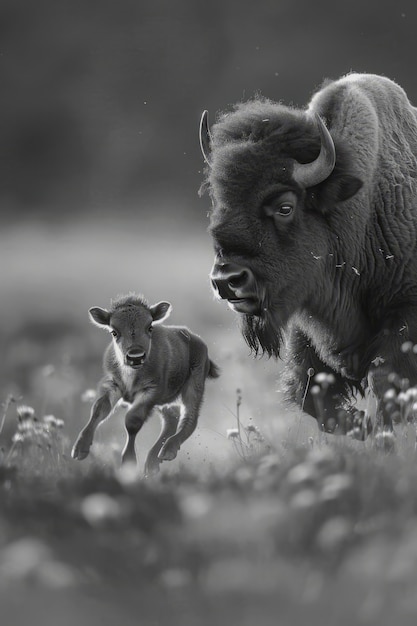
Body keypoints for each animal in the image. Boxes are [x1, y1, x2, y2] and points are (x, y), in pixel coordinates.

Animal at [71, 294, 219, 472]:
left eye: (150, 327)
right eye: (114, 332)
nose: (135, 356)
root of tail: (195, 338)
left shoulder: (151, 392)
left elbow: (132, 420)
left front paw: (128, 462)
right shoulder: (113, 384)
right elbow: (100, 408)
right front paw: (79, 449)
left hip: (193, 386)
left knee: (189, 417)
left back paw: (168, 451)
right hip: (165, 401)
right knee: (171, 420)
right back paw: (152, 464)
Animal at [197, 73, 416, 432]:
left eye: (285, 207)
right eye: (219, 203)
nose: (227, 280)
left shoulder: (404, 319)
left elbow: (384, 383)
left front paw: (372, 427)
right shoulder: (307, 327)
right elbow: (310, 394)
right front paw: (357, 424)